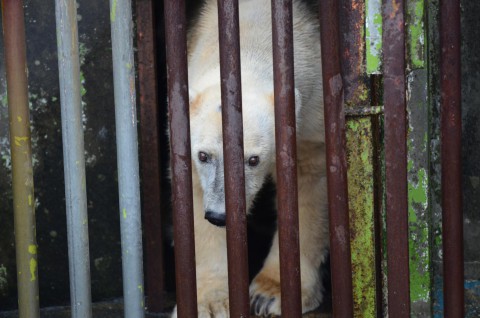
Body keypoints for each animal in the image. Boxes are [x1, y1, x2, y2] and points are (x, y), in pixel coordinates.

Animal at [172, 0, 330, 316]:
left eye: (253, 159)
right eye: (204, 155)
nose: (219, 215)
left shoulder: (311, 112)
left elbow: (307, 183)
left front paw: (269, 294)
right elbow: (193, 194)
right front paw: (210, 302)